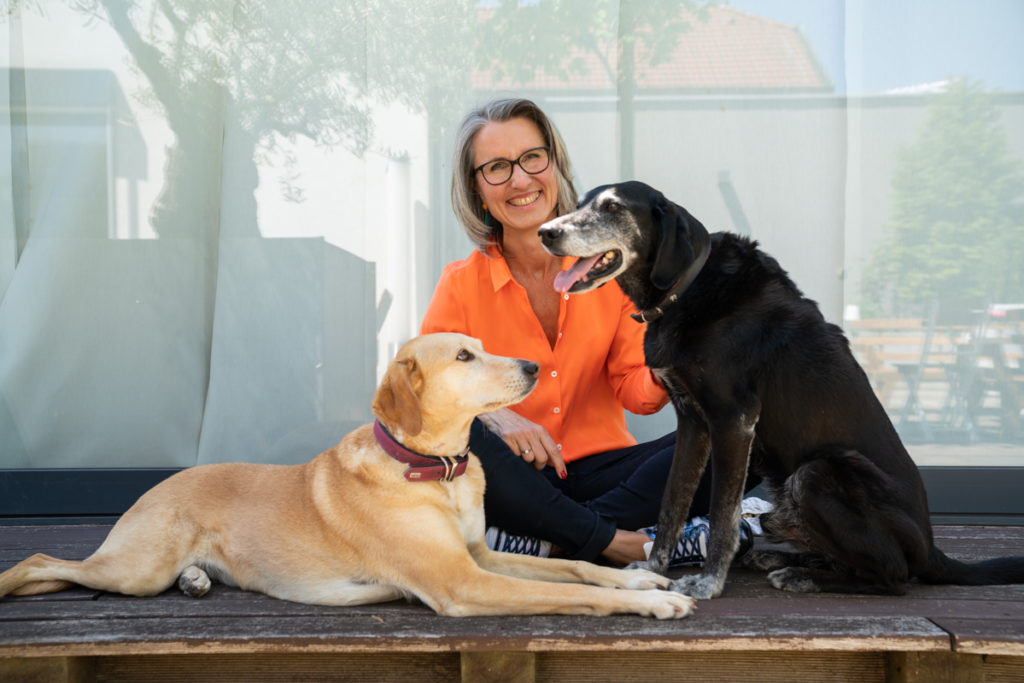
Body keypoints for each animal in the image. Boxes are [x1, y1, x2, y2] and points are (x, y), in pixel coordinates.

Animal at [0, 335, 696, 618]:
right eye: (464, 355)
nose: (531, 367)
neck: (437, 471)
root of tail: (156, 485)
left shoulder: (478, 556)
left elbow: (576, 567)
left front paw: (642, 577)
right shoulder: (463, 582)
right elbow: (577, 593)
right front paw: (652, 602)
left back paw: (198, 579)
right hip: (134, 570)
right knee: (40, 560)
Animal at [536, 181, 1024, 598]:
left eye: (613, 208)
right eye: (582, 202)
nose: (545, 232)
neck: (685, 287)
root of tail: (931, 548)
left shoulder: (733, 421)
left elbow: (723, 514)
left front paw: (709, 582)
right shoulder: (694, 424)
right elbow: (672, 503)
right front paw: (655, 568)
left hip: (814, 474)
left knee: (894, 577)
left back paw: (802, 576)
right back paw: (784, 560)